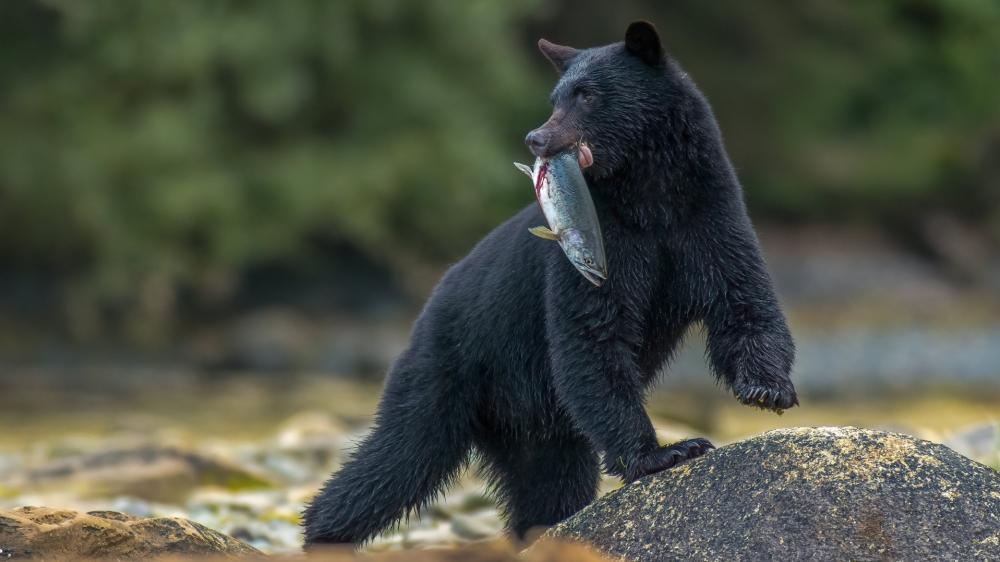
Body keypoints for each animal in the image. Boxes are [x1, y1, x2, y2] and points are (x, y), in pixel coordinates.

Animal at [303, 21, 796, 547]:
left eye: (587, 95)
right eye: (555, 97)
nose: (536, 138)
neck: (650, 196)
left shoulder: (707, 217)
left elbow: (743, 300)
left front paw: (767, 389)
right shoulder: (598, 246)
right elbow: (592, 333)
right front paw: (666, 452)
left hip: (540, 427)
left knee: (549, 486)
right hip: (447, 369)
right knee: (401, 454)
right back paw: (323, 532)